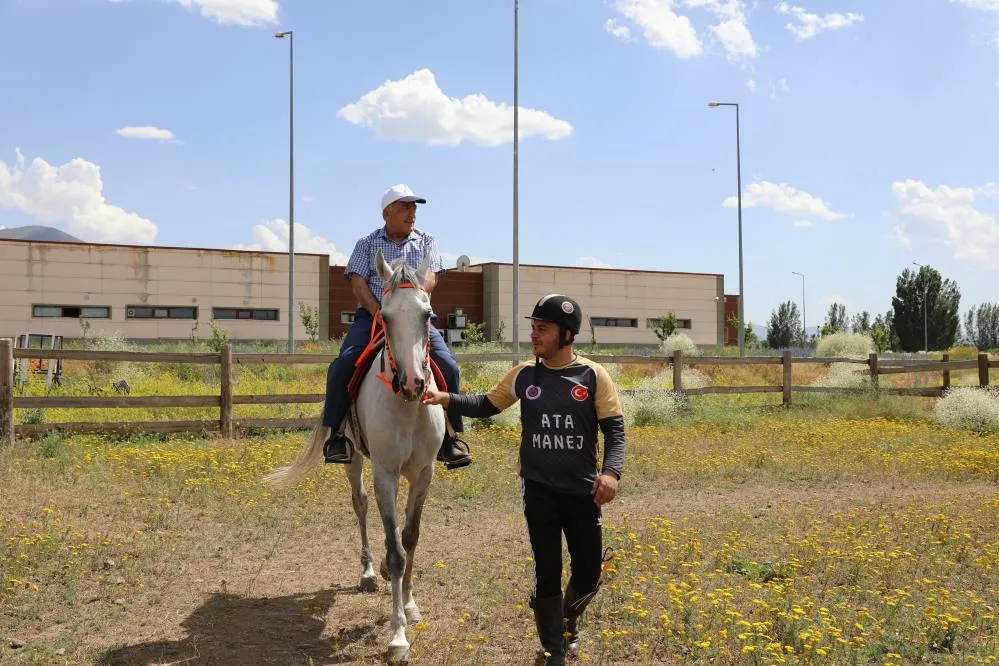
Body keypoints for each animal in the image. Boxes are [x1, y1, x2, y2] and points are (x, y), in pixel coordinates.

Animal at [270, 248, 450, 660]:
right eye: (384, 316)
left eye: (428, 315)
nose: (414, 383)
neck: (407, 407)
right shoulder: (385, 472)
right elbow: (395, 549)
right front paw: (398, 636)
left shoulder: (424, 473)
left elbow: (410, 537)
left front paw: (410, 605)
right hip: (353, 461)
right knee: (361, 504)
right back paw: (369, 571)